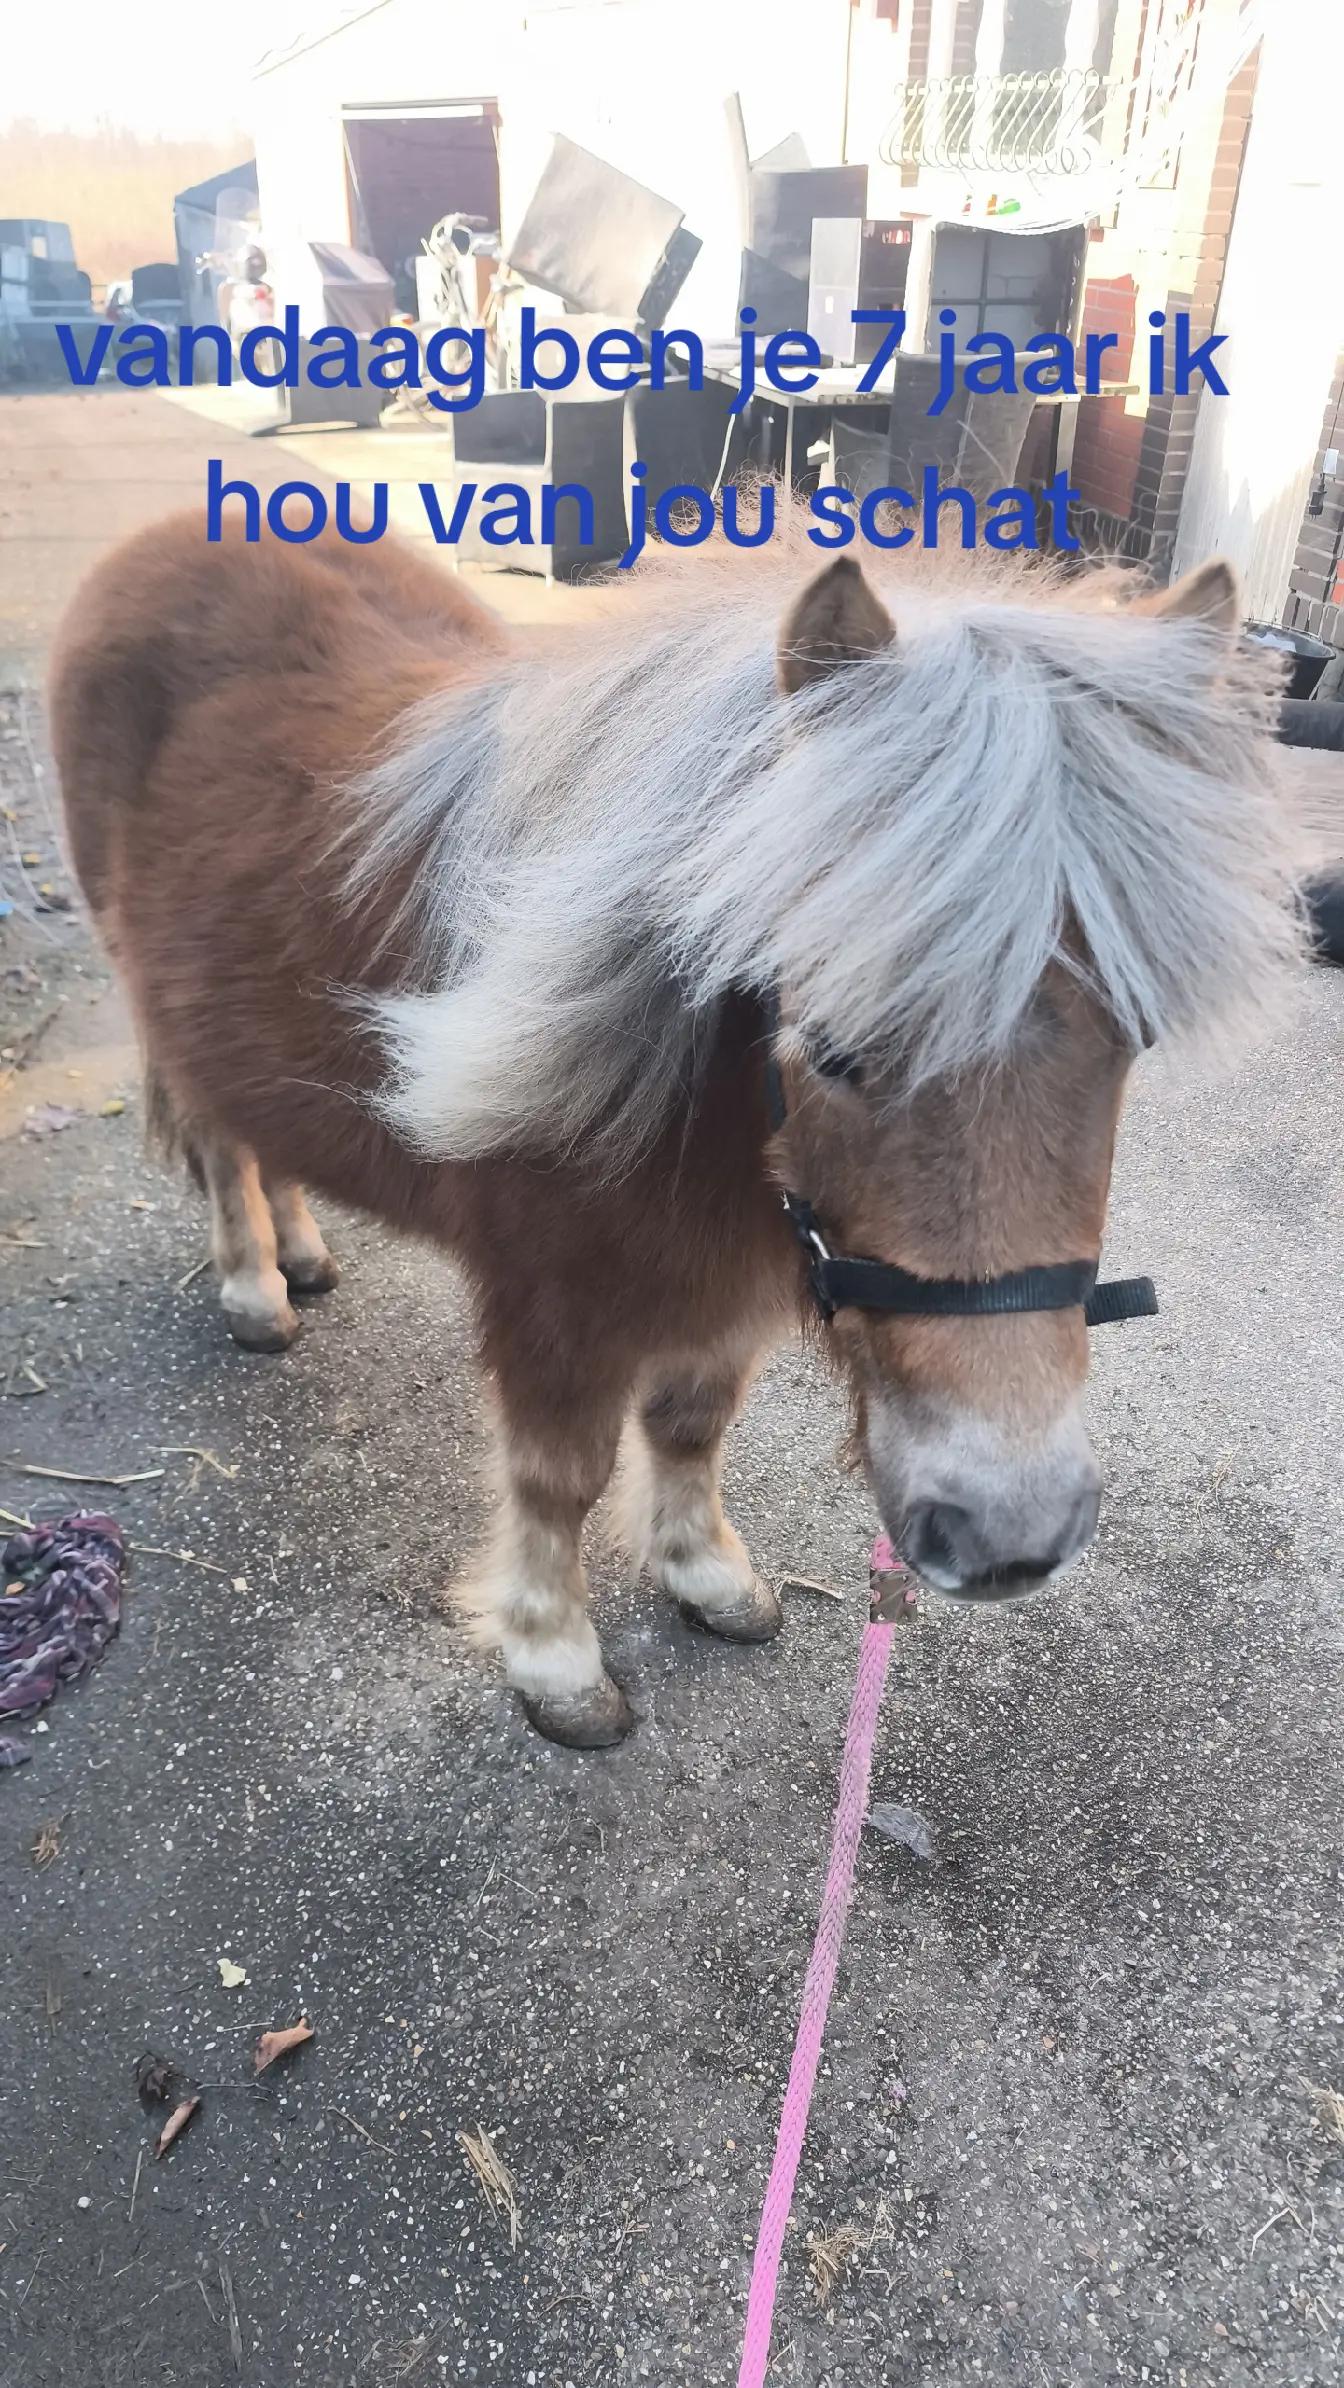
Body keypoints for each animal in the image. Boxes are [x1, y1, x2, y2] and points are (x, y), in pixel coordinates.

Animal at [49, 513, 1304, 1747]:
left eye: (1136, 1035)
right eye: (831, 1042)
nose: (1011, 1534)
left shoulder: (732, 1282)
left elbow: (693, 1427)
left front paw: (706, 1574)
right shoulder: (550, 1303)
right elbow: (559, 1475)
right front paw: (555, 1659)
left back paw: (305, 1252)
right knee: (223, 1147)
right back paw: (255, 1288)